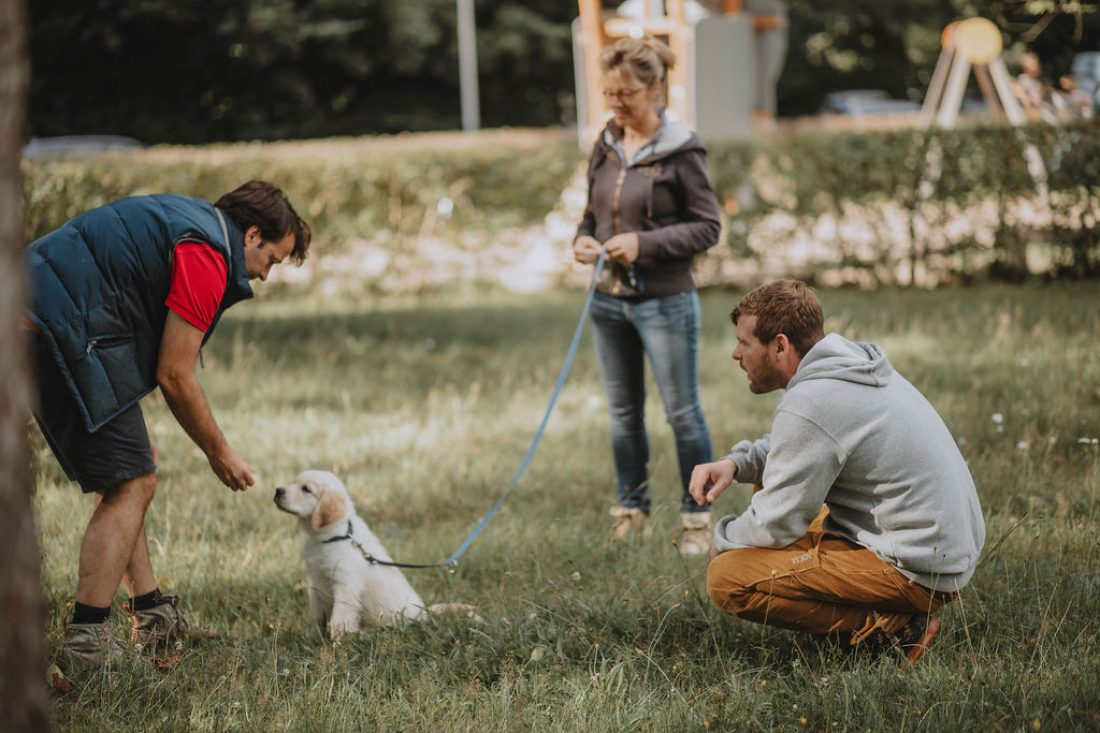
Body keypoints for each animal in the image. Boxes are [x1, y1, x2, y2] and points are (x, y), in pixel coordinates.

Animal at [272, 468, 466, 633]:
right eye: (294, 482)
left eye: (306, 489)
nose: (278, 490)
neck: (334, 535)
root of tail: (425, 613)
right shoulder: (317, 582)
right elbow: (317, 612)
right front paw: (313, 633)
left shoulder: (346, 584)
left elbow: (340, 617)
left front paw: (337, 643)